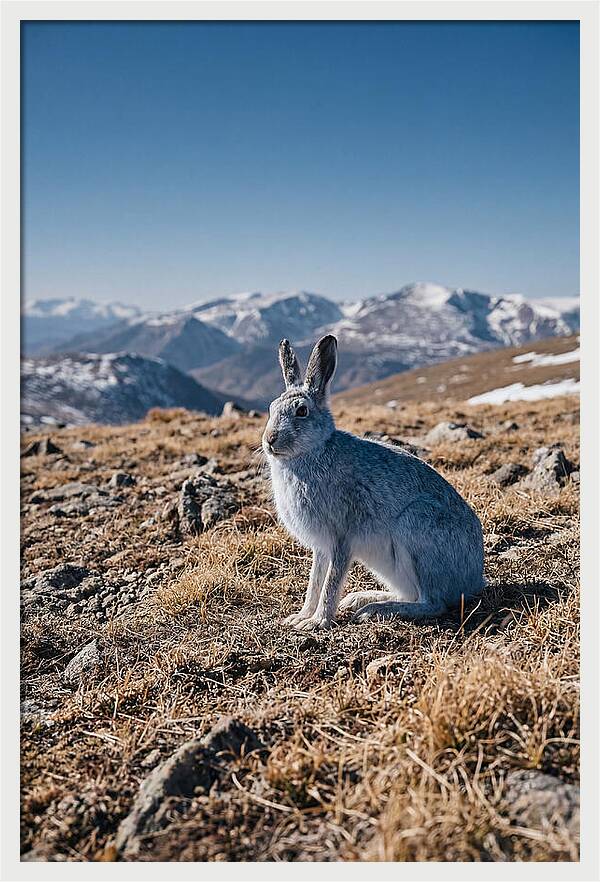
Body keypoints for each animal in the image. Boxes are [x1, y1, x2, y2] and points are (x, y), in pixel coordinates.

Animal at [262, 334, 485, 630]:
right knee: (412, 594)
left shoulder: (342, 537)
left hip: (417, 529)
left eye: (301, 411)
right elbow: (314, 581)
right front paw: (300, 617)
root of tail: (474, 579)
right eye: (271, 408)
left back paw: (375, 609)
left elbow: (330, 582)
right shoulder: (322, 547)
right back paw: (361, 598)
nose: (270, 440)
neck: (312, 452)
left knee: (432, 602)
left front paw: (318, 622)